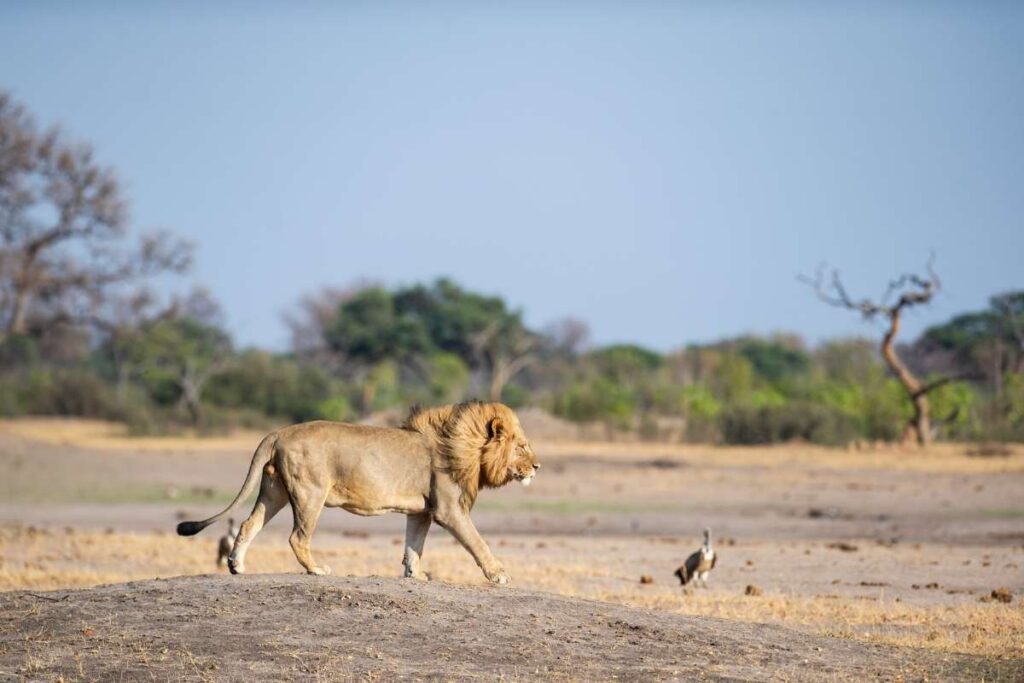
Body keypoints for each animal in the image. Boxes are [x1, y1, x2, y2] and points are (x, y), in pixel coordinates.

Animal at [176, 401, 539, 584]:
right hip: (310, 493)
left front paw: (416, 575)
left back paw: (236, 566)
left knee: (249, 524)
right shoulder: (449, 509)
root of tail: (279, 432)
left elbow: (414, 545)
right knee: (297, 537)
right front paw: (499, 574)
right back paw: (316, 570)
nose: (537, 466)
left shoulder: (421, 511)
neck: (465, 446)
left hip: (274, 491)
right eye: (522, 446)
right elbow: (477, 541)